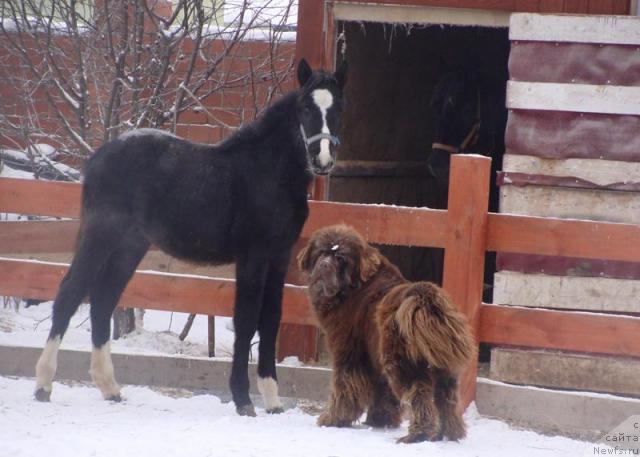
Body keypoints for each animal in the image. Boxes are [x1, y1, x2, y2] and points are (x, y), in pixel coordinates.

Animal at [298, 225, 476, 442]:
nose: (324, 265)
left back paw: (418, 434)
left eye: (340, 258)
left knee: (419, 394)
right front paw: (380, 420)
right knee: (446, 400)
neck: (354, 288)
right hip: (442, 367)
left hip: (403, 363)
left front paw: (333, 419)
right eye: (321, 253)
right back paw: (450, 433)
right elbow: (382, 391)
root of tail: (422, 298)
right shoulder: (375, 357)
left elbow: (344, 386)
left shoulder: (349, 352)